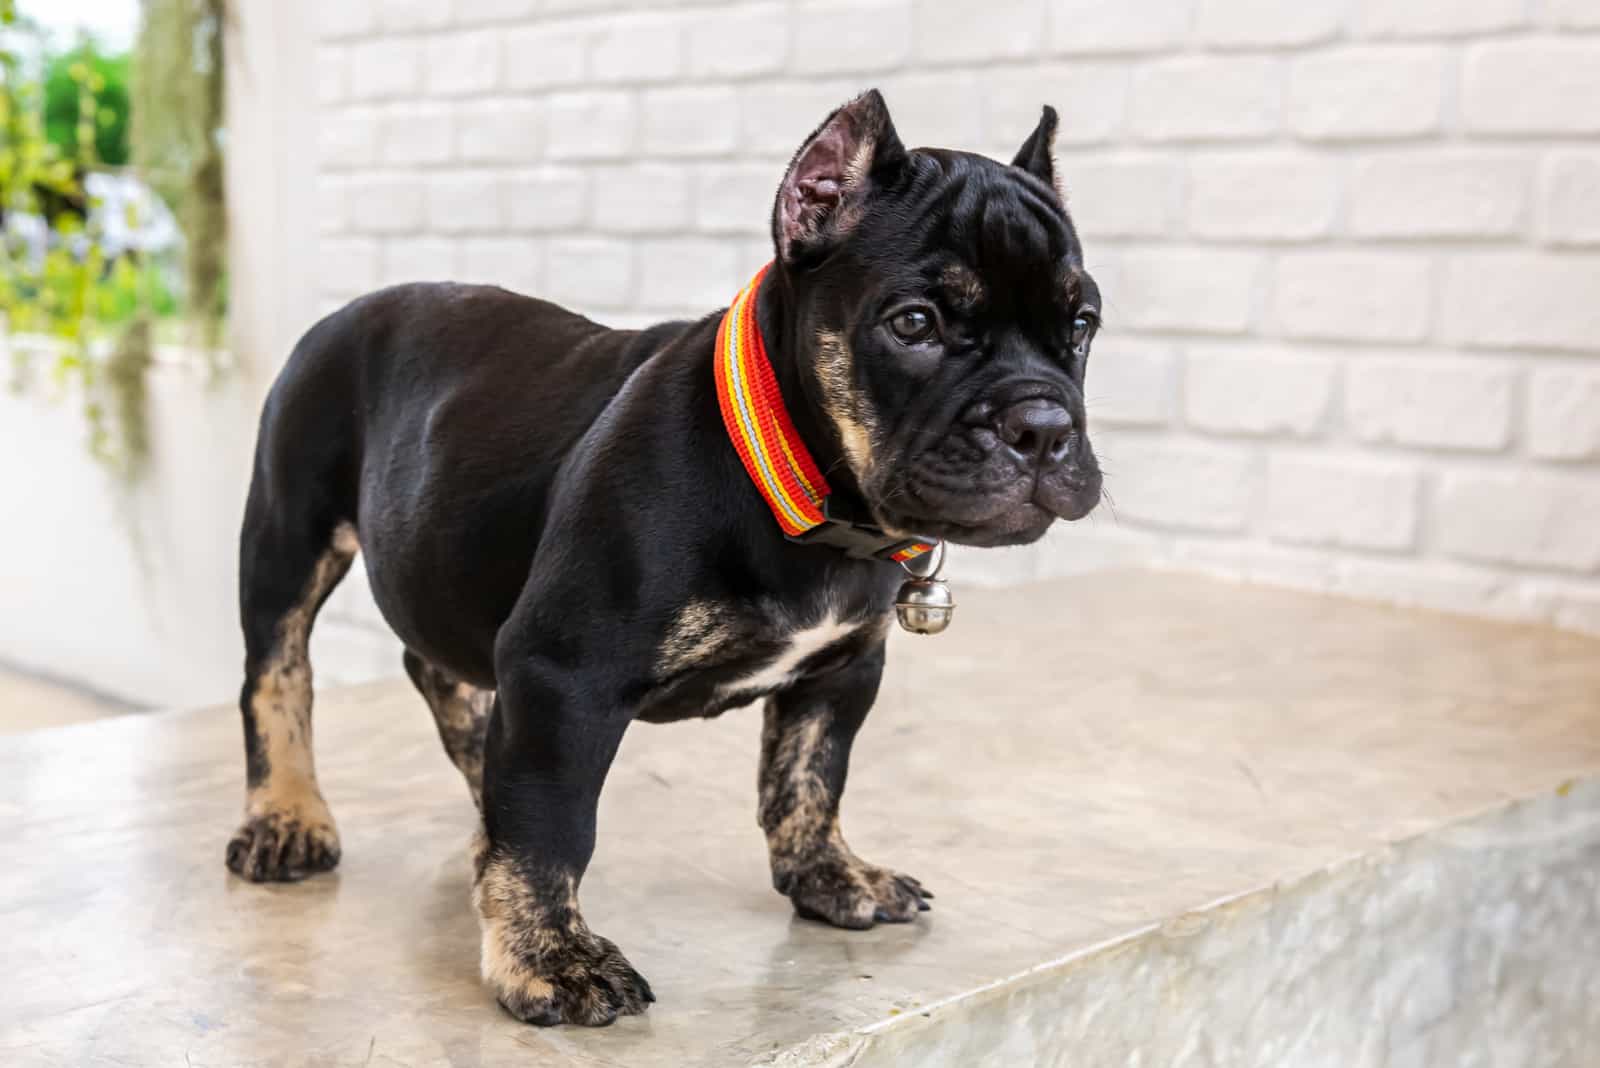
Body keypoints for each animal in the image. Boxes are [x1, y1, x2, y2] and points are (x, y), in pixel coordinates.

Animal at [228, 91, 1100, 1023]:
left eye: (1083, 325)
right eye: (915, 325)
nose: (1044, 425)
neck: (804, 490)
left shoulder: (841, 672)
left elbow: (810, 774)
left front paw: (830, 874)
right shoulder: (563, 673)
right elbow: (549, 826)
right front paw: (548, 956)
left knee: (446, 678)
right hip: (287, 534)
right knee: (277, 676)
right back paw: (287, 817)